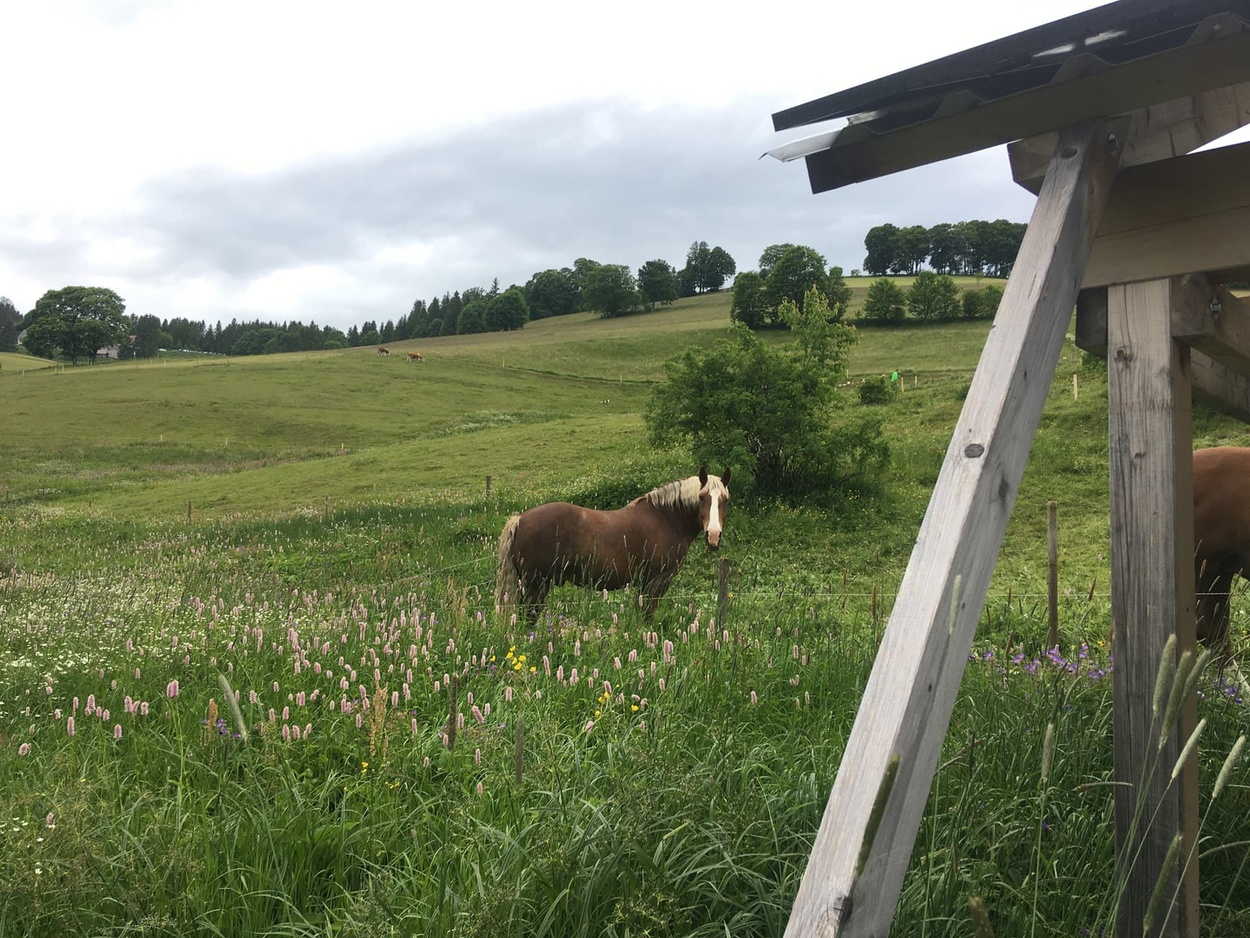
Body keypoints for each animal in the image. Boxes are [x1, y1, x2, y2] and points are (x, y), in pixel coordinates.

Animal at [495, 467, 731, 623]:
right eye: (702, 497)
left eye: (725, 500)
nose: (713, 535)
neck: (666, 519)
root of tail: (520, 519)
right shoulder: (657, 580)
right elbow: (647, 615)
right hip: (536, 584)